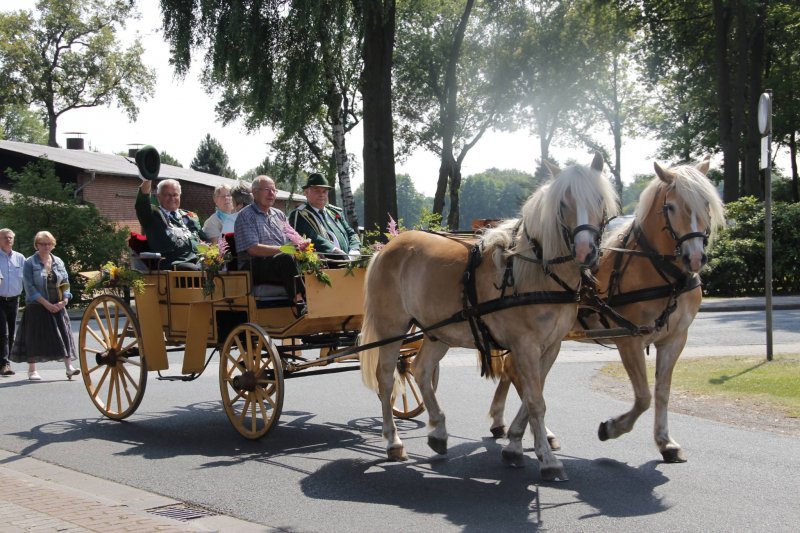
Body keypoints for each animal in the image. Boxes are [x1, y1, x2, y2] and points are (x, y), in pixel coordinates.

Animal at [360, 152, 620, 480]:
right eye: (563, 203)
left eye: (599, 199)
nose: (586, 252)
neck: (535, 272)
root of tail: (386, 247)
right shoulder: (525, 345)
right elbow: (535, 401)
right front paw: (547, 460)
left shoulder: (551, 347)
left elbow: (533, 397)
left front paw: (515, 444)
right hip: (391, 328)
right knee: (386, 379)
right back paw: (393, 442)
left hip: (438, 332)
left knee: (421, 371)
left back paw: (439, 432)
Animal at [488, 158, 724, 462]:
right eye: (671, 207)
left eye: (706, 203)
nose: (695, 257)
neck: (659, 270)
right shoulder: (629, 340)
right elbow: (643, 397)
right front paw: (613, 427)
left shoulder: (675, 339)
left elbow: (662, 391)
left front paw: (665, 441)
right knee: (520, 376)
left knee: (514, 373)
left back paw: (504, 422)